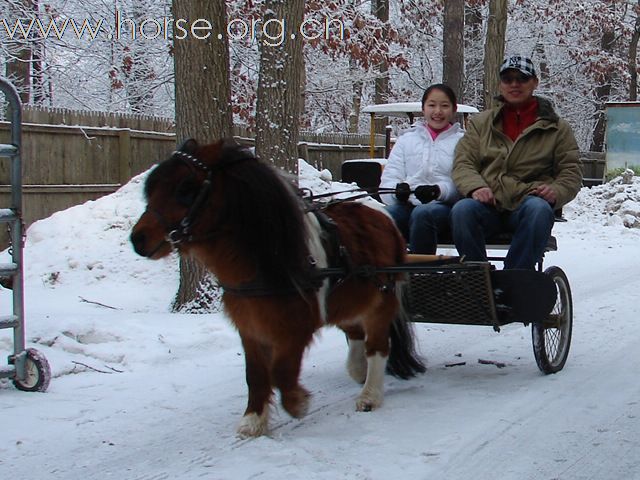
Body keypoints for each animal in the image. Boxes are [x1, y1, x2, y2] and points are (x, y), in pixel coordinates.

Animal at [130, 138, 424, 436]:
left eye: (186, 188)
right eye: (152, 189)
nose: (138, 239)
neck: (269, 258)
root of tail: (382, 215)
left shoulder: (296, 328)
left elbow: (282, 370)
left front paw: (297, 403)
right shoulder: (249, 326)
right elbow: (255, 374)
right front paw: (253, 420)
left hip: (381, 302)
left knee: (378, 346)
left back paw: (370, 394)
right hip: (350, 300)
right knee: (355, 333)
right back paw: (359, 370)